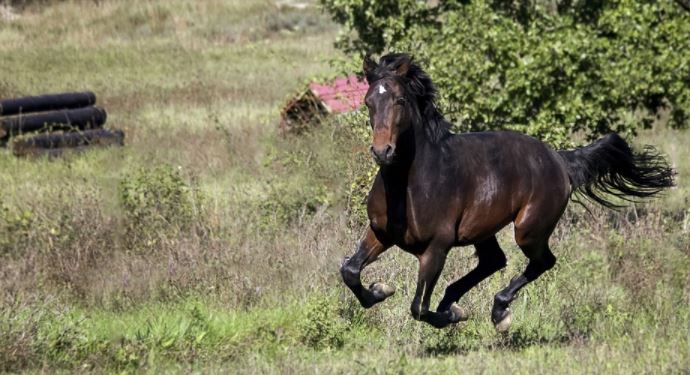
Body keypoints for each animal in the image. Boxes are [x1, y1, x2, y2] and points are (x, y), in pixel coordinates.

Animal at [338, 53, 672, 332]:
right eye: (368, 102)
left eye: (400, 101)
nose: (382, 151)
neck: (410, 185)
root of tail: (559, 159)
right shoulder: (380, 233)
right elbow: (350, 270)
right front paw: (380, 290)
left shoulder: (436, 248)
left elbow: (418, 307)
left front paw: (452, 316)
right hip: (483, 229)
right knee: (494, 261)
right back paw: (456, 302)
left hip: (528, 230)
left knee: (541, 262)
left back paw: (498, 313)